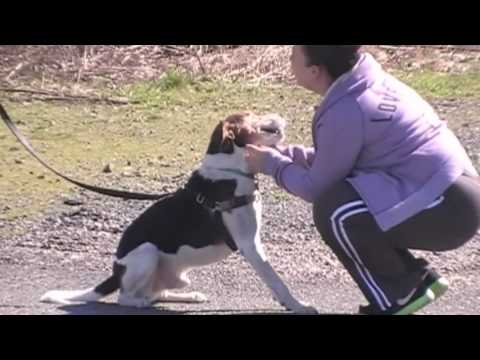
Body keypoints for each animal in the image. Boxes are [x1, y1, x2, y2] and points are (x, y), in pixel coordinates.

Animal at [41, 112, 318, 316]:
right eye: (251, 114)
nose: (280, 116)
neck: (230, 171)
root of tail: (115, 273)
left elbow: (272, 279)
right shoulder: (250, 244)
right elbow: (276, 279)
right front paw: (299, 305)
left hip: (173, 275)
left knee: (159, 293)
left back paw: (189, 296)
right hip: (147, 252)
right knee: (126, 298)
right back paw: (139, 303)